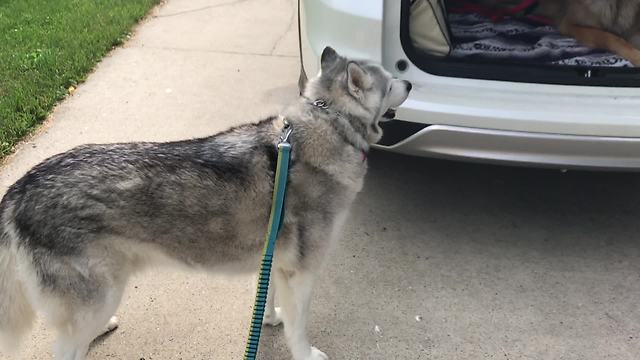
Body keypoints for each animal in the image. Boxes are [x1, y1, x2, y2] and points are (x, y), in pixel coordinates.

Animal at [0, 46, 410, 358]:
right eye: (390, 82)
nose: (408, 80)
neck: (330, 127)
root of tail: (19, 189)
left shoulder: (277, 258)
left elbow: (270, 295)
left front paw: (269, 319)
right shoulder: (302, 272)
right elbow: (299, 328)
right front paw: (304, 352)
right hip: (99, 296)